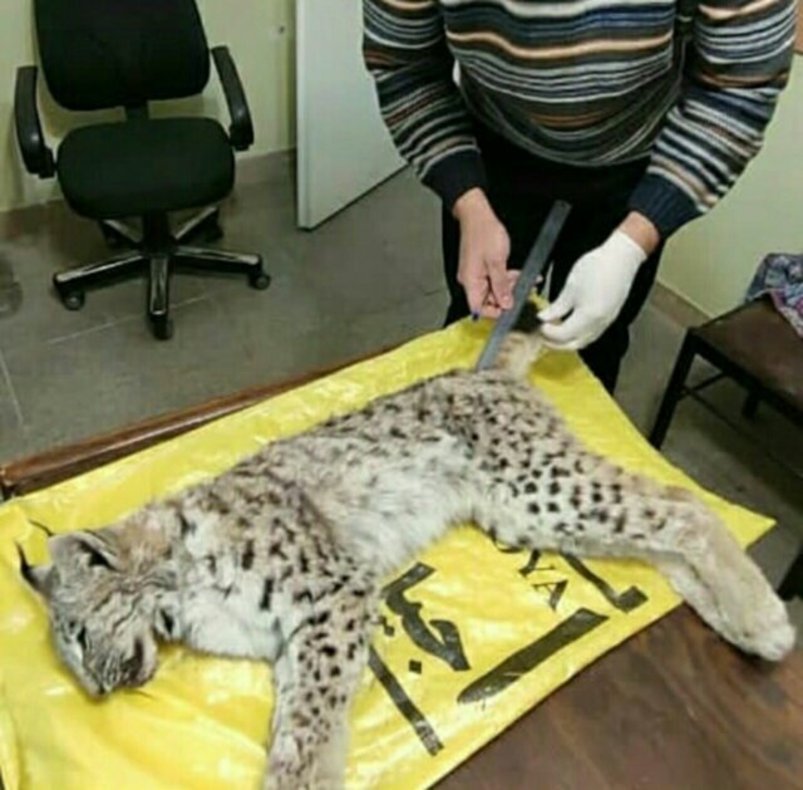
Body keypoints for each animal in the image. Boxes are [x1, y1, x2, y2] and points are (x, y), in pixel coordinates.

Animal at [18, 305, 795, 789]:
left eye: (80, 636)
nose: (95, 691)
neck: (175, 591)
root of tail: (480, 370)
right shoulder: (293, 634)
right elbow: (296, 718)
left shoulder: (333, 593)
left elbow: (308, 723)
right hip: (523, 512)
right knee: (660, 531)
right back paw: (735, 618)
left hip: (539, 484)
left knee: (685, 506)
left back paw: (762, 618)